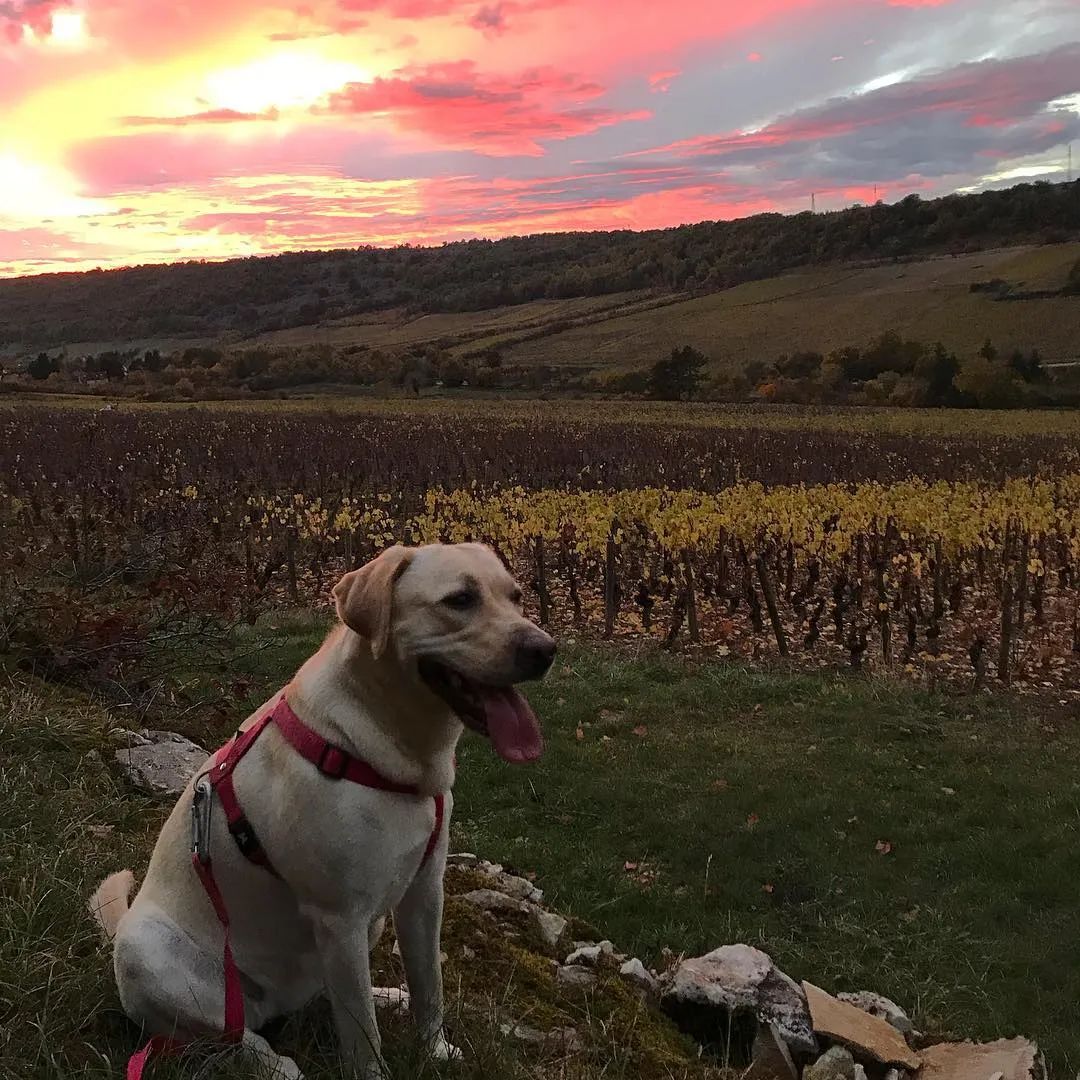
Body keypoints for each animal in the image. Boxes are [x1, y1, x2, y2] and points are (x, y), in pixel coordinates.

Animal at [90, 544, 557, 1075]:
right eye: (460, 599)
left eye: (516, 596)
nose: (545, 650)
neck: (391, 750)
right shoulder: (341, 917)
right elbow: (362, 1034)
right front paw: (374, 1071)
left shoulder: (423, 892)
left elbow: (429, 986)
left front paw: (435, 1049)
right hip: (152, 952)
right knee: (230, 1034)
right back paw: (277, 1065)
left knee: (325, 997)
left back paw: (386, 995)